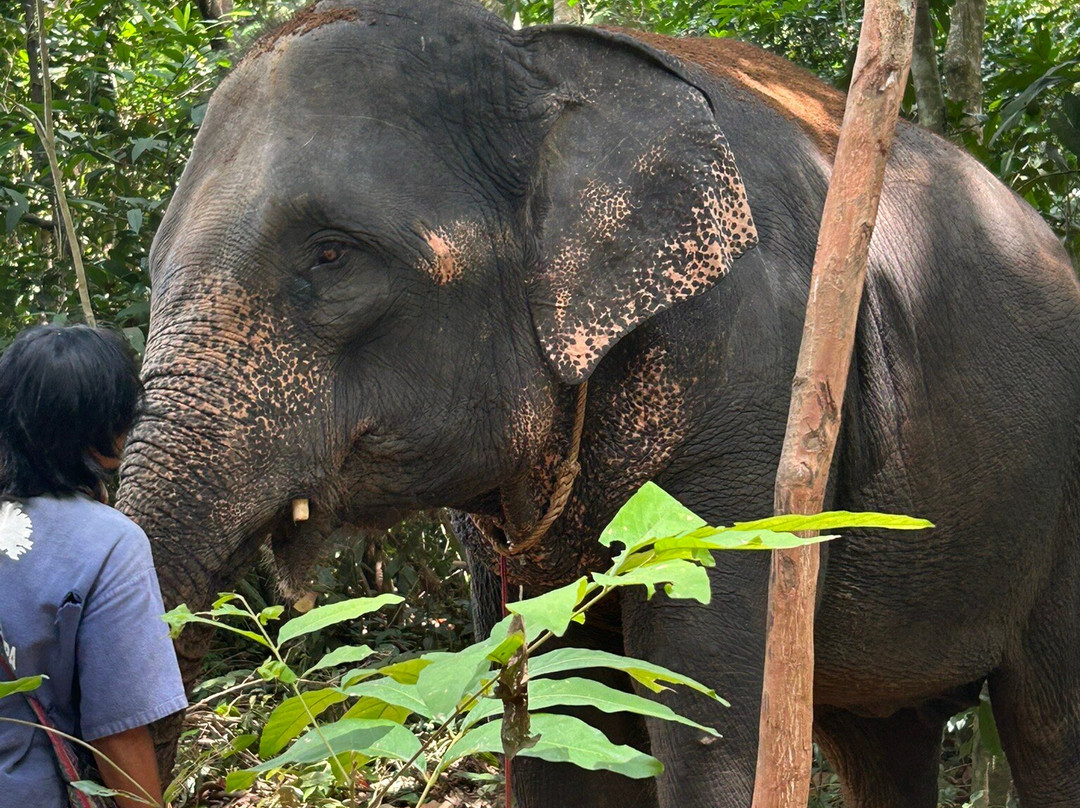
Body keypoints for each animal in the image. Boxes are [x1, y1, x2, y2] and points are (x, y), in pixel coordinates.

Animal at [115, 1, 1080, 806]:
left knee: (1046, 725)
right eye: (155, 269)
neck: (538, 59)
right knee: (884, 738)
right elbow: (556, 710)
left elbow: (706, 717)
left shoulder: (755, 401)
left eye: (330, 255)